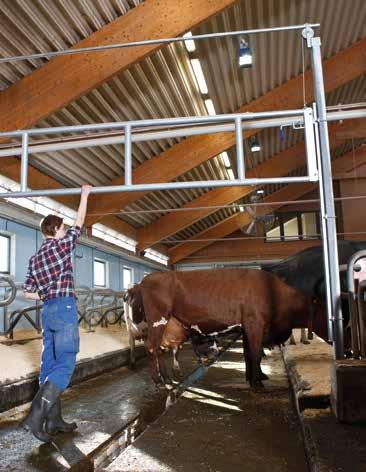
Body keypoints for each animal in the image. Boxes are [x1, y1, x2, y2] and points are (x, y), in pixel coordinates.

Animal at [126, 270, 326, 390]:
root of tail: (146, 279)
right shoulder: (254, 324)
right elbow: (255, 353)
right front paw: (257, 383)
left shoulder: (247, 327)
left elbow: (248, 354)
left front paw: (254, 377)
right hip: (157, 320)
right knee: (151, 347)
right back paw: (158, 381)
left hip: (166, 326)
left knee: (159, 348)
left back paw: (166, 379)